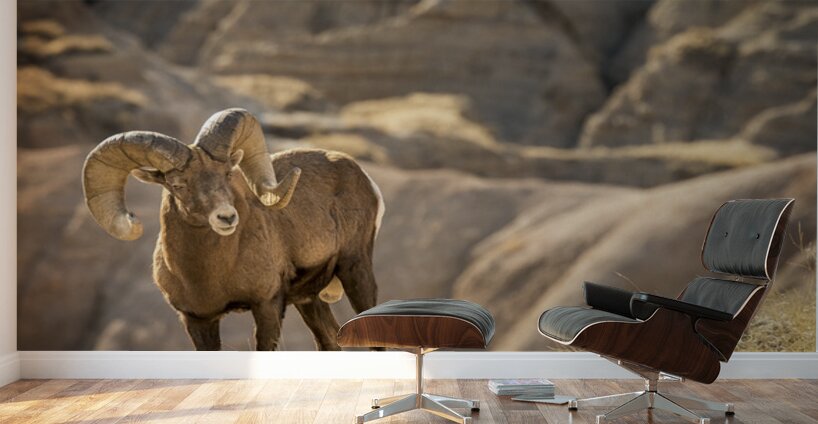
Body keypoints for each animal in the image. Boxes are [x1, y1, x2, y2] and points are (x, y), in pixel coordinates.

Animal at [82, 108, 383, 351]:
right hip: (309, 299)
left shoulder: (267, 306)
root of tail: (362, 176)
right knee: (330, 339)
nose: (226, 217)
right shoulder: (197, 320)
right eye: (177, 185)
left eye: (227, 174)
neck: (208, 275)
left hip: (355, 270)